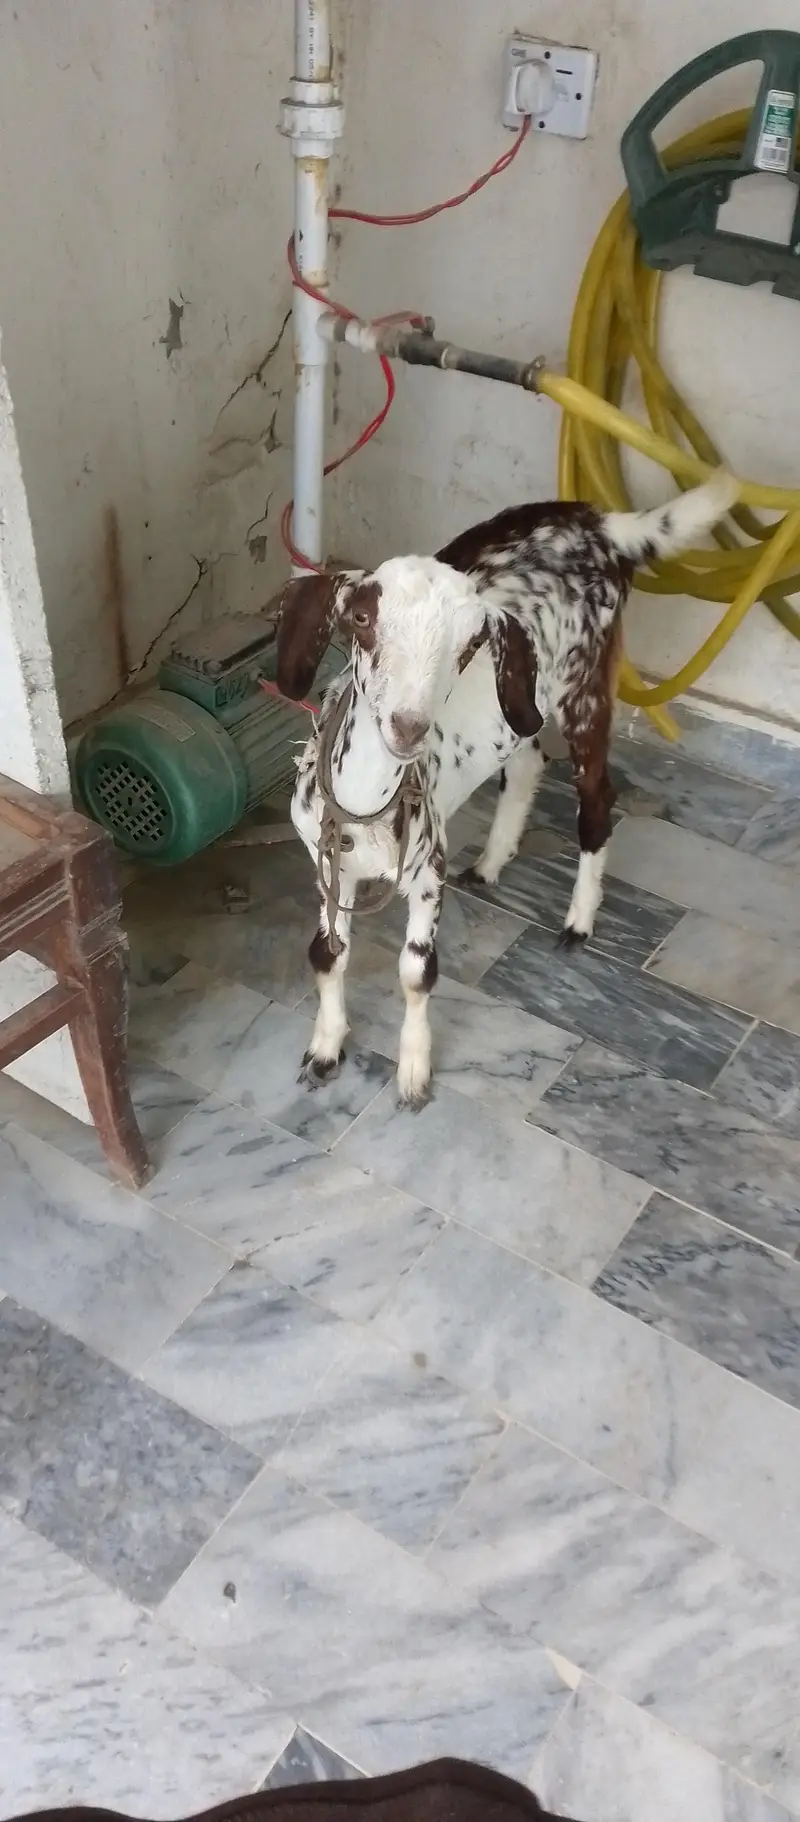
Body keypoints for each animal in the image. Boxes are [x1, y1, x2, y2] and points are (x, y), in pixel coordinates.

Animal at [275, 469, 738, 1107]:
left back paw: (578, 920)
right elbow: (327, 956)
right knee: (526, 763)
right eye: (362, 621)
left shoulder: (429, 871)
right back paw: (493, 861)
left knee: (597, 801)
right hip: (525, 709)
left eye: (471, 643)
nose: (409, 726)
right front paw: (325, 1049)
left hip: (586, 685)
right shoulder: (327, 867)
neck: (368, 806)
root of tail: (598, 522)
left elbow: (416, 974)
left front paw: (413, 1073)